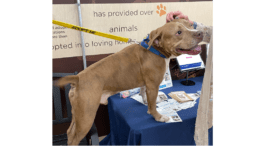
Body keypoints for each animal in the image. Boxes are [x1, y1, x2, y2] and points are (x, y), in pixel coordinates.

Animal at [55, 18, 204, 145]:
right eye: (179, 32)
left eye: (191, 25)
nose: (200, 33)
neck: (156, 49)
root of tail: (78, 78)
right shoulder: (153, 86)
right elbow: (152, 105)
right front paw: (158, 116)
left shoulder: (146, 85)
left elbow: (145, 95)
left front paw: (146, 102)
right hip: (86, 117)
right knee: (75, 137)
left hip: (78, 114)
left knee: (69, 132)